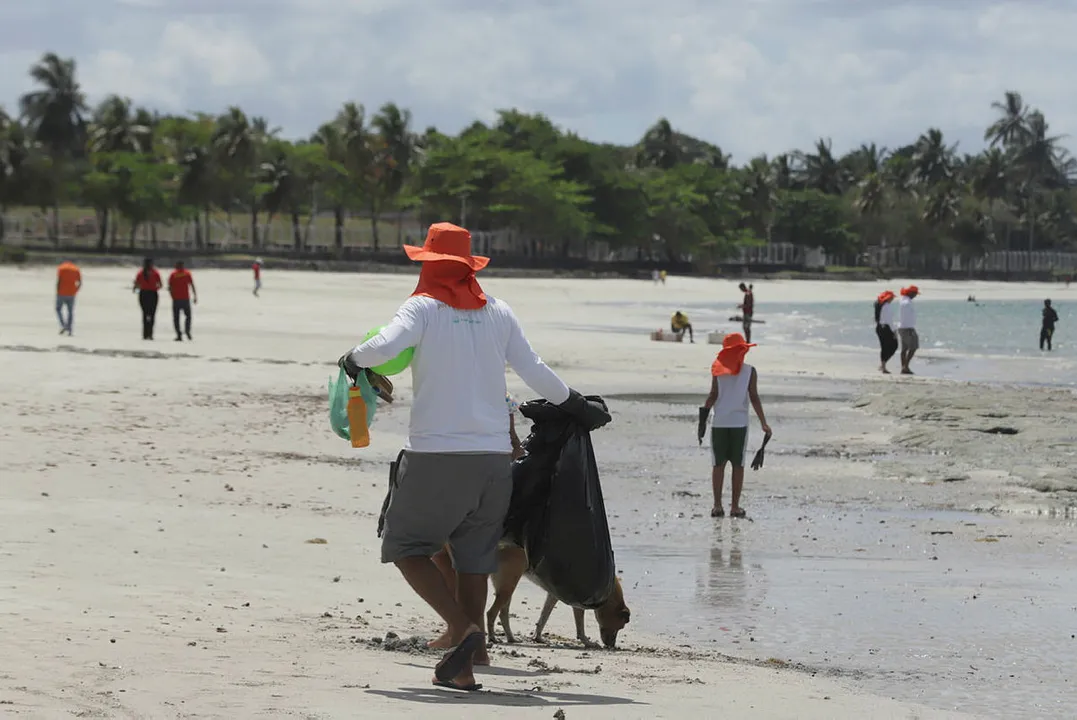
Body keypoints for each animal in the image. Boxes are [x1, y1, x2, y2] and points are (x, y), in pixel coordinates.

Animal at [484, 542, 628, 650]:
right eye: (620, 627)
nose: (612, 646)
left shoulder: (553, 596)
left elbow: (543, 618)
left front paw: (538, 637)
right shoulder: (578, 604)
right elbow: (580, 627)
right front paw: (587, 642)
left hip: (507, 586)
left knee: (503, 614)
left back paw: (511, 638)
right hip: (508, 586)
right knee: (491, 613)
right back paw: (492, 638)